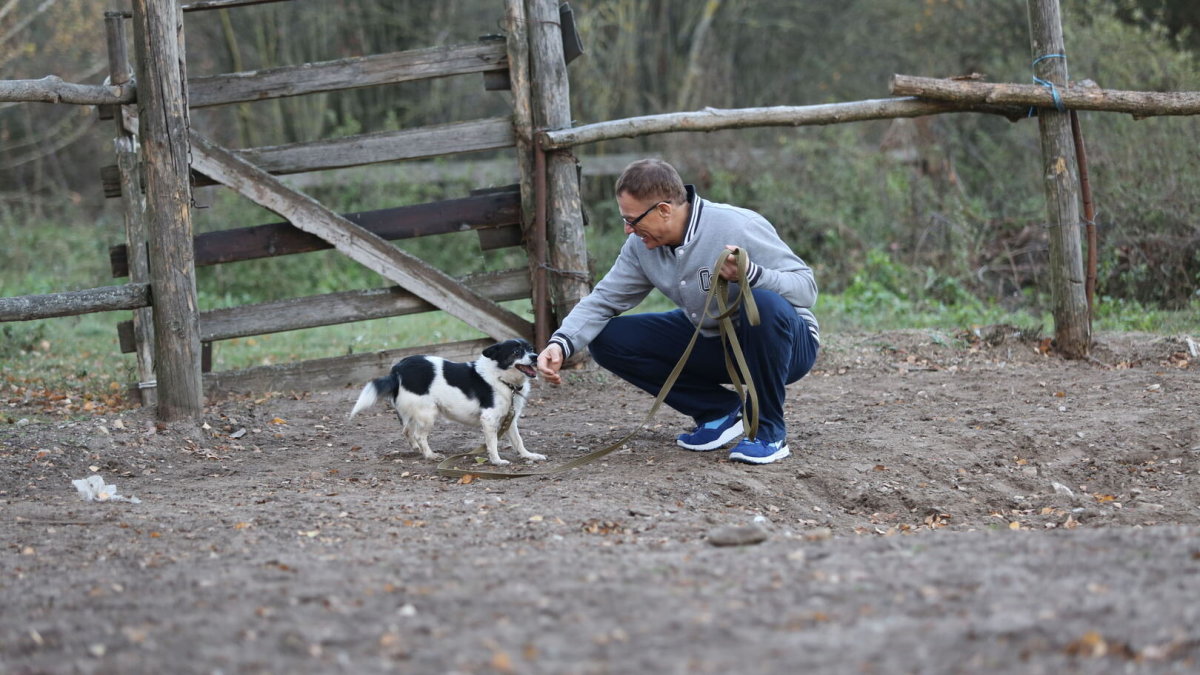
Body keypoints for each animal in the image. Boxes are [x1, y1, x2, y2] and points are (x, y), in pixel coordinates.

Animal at [348, 338, 544, 466]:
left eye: (530, 348)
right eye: (516, 352)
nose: (535, 356)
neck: (501, 378)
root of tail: (398, 370)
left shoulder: (509, 419)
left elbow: (518, 441)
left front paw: (529, 456)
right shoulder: (489, 419)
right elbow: (493, 443)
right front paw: (497, 461)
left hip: (414, 412)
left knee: (407, 430)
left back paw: (417, 449)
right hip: (428, 414)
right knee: (419, 435)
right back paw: (430, 455)